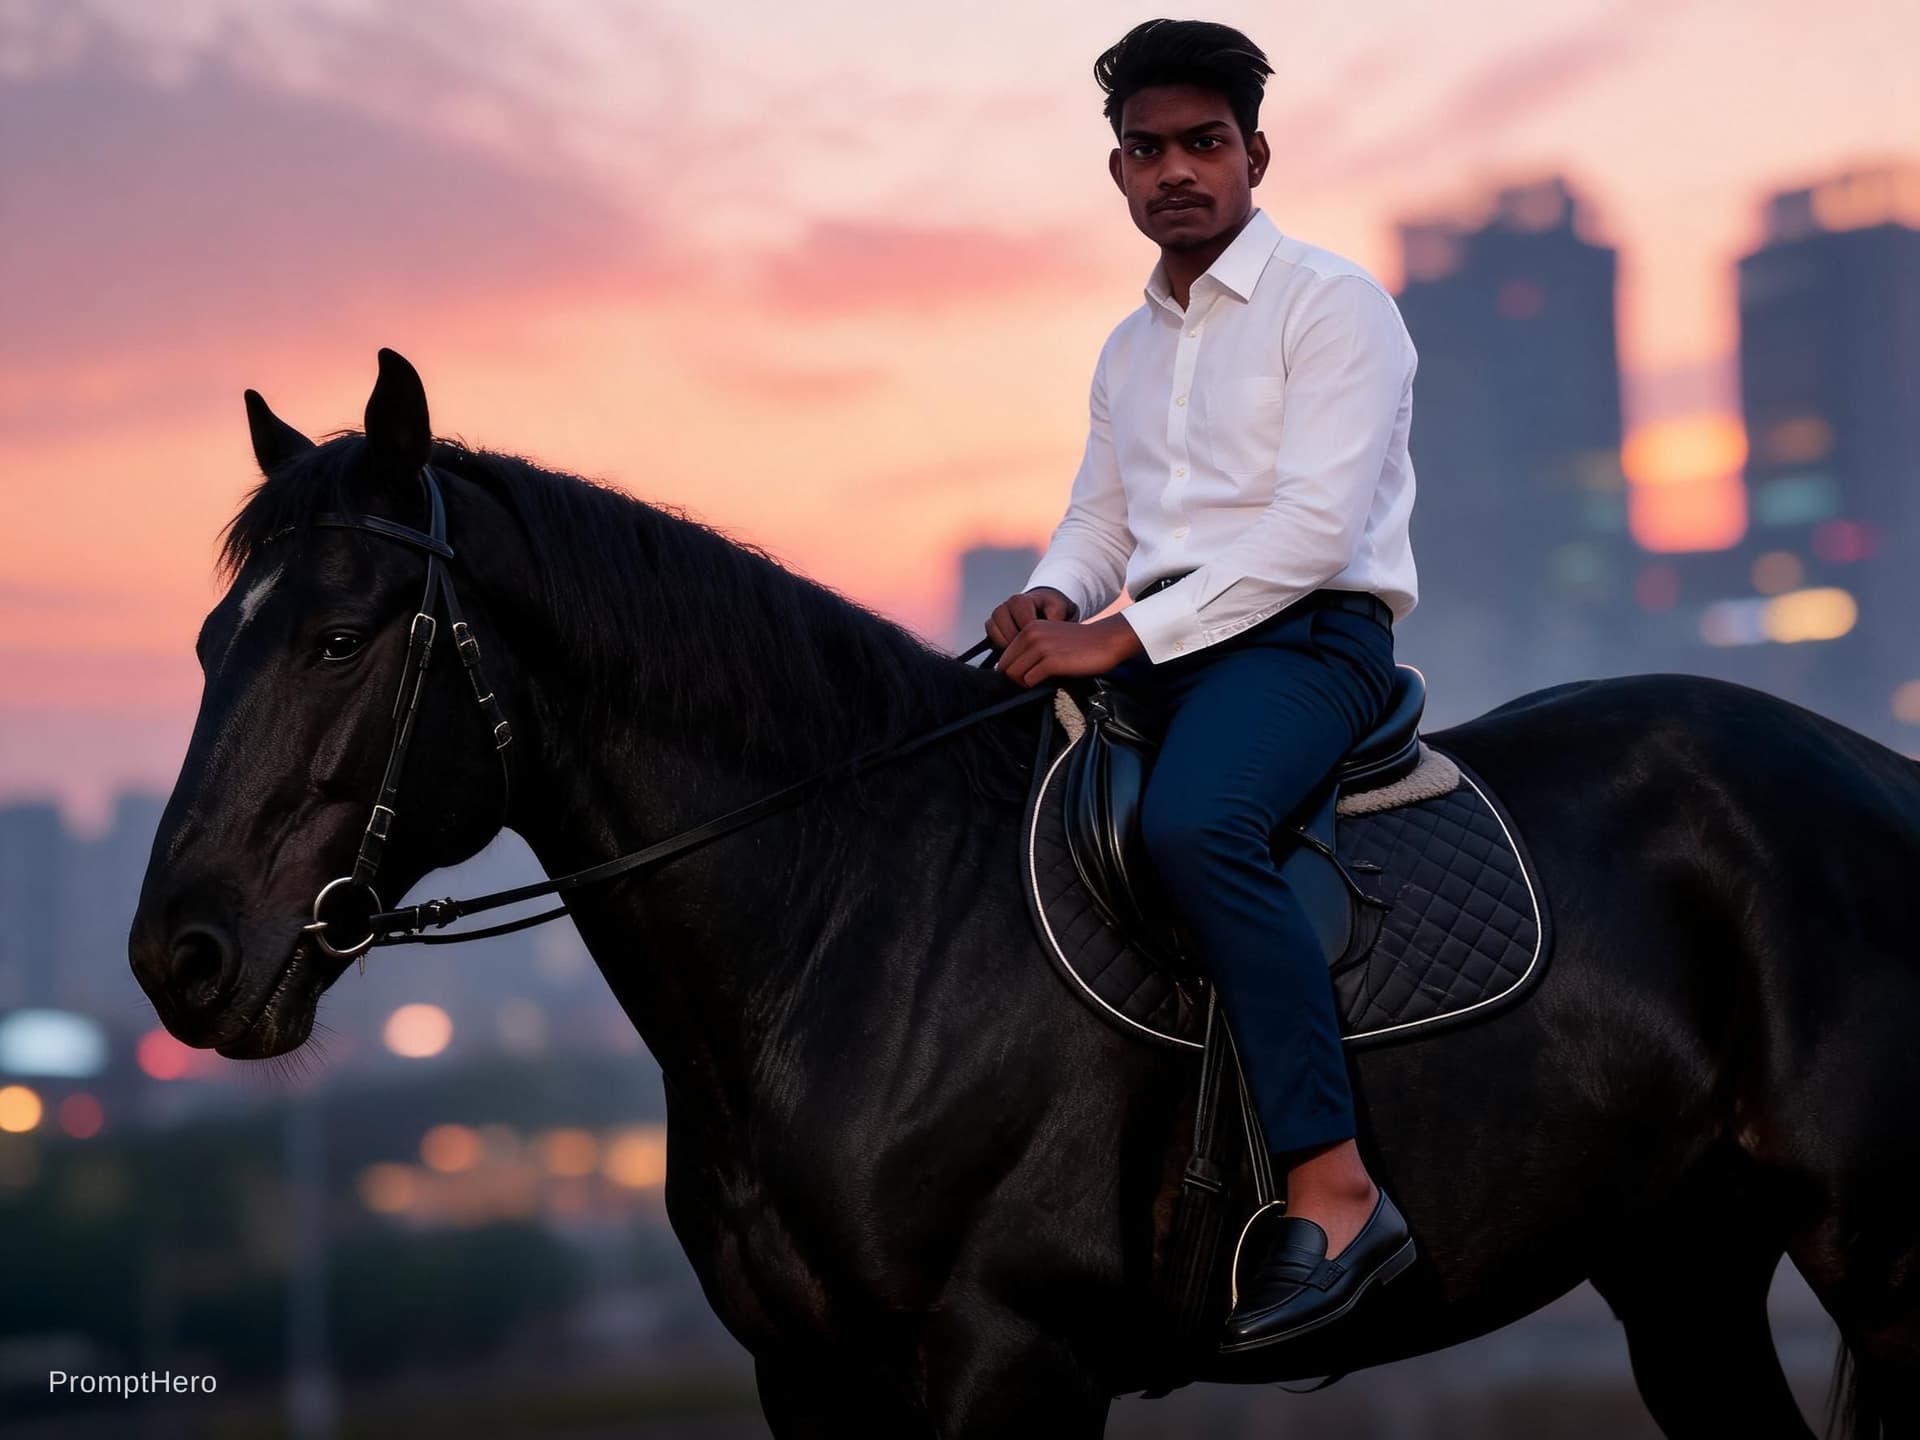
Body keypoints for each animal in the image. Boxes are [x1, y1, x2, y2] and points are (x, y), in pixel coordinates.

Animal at [130, 351, 1920, 1437]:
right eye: (213, 639)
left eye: (340, 639)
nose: (181, 959)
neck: (854, 930)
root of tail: (1869, 772)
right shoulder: (810, 1381)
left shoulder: (1013, 1362)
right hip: (1683, 1268)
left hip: (1869, 1252)